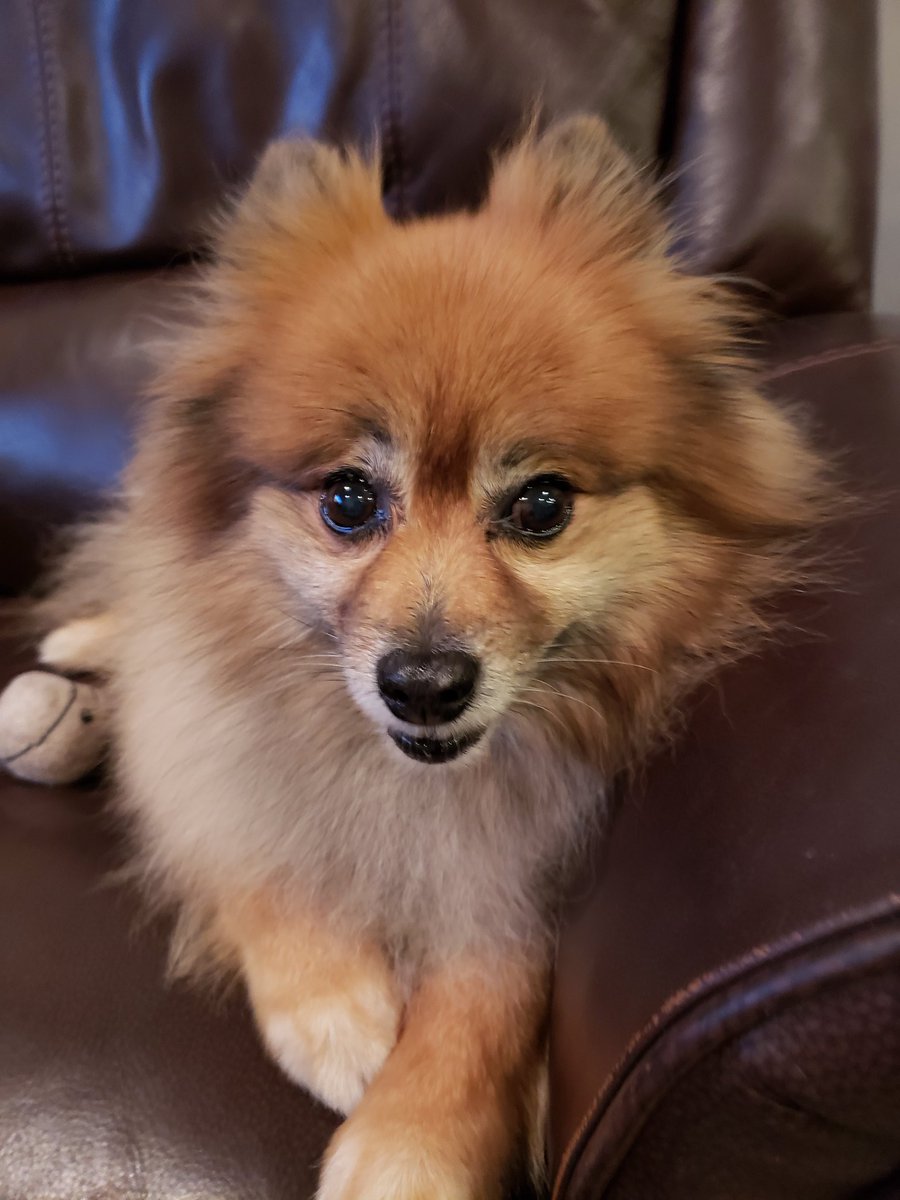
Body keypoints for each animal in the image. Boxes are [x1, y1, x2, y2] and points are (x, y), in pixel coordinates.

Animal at [34, 116, 827, 1198]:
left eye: (541, 506)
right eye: (348, 501)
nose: (422, 685)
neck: (414, 786)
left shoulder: (530, 881)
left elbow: (491, 992)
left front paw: (411, 1143)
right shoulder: (212, 763)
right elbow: (257, 861)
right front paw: (332, 1008)